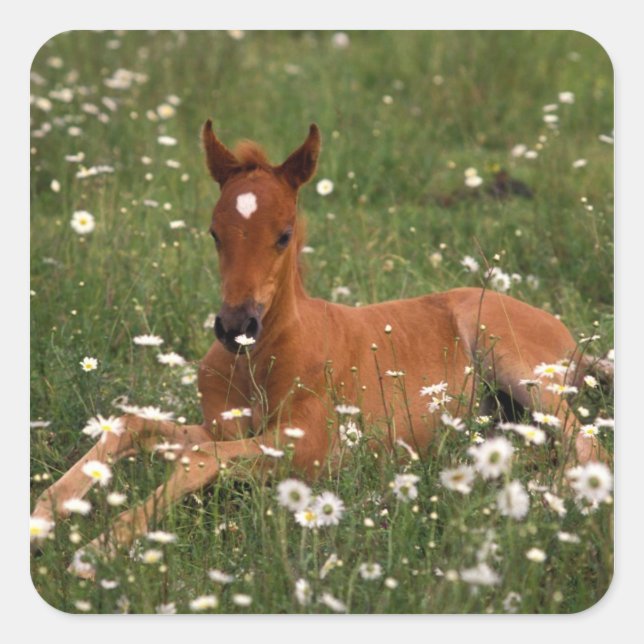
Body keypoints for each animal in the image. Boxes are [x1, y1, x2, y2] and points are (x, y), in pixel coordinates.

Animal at [31, 120, 604, 572]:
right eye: (214, 232)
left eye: (284, 234)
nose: (235, 326)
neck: (262, 359)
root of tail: (575, 344)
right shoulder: (223, 427)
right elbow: (138, 426)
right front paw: (47, 512)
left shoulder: (312, 448)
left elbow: (196, 459)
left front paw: (98, 548)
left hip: (512, 357)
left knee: (588, 444)